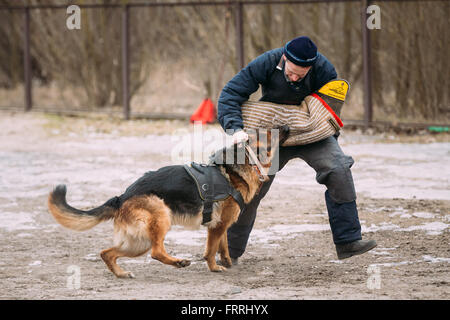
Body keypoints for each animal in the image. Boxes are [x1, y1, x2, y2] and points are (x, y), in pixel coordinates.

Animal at [47, 125, 290, 278]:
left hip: (137, 243)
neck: (241, 165)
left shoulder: (219, 226)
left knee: (107, 253)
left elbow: (223, 245)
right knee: (156, 252)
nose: (287, 126)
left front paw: (227, 262)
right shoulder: (218, 225)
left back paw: (122, 273)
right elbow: (211, 249)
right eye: (269, 133)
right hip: (161, 218)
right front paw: (214, 268)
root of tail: (123, 196)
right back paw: (178, 262)